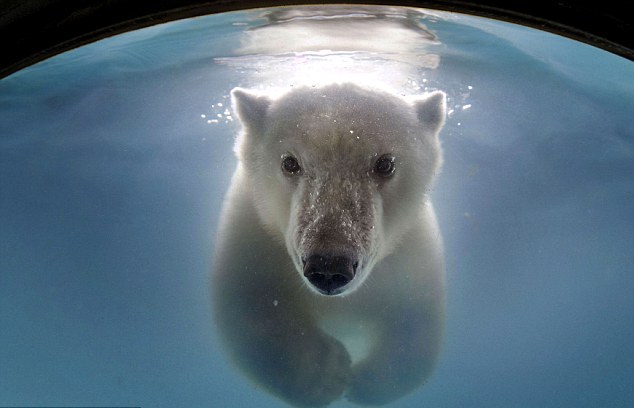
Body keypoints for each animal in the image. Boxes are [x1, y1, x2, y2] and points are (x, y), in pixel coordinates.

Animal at [211, 82, 444, 404]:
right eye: (289, 162)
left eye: (386, 163)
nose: (329, 267)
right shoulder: (253, 233)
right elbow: (247, 309)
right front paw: (326, 372)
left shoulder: (411, 253)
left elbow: (417, 319)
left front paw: (365, 382)